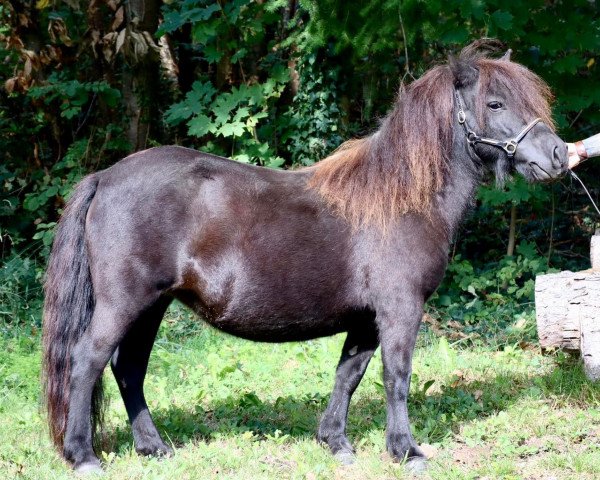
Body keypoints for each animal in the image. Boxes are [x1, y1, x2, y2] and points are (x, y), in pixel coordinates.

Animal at [42, 41, 568, 472]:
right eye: (494, 103)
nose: (559, 155)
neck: (400, 197)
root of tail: (104, 177)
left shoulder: (365, 318)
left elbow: (349, 375)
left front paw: (336, 442)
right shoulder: (400, 308)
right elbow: (396, 375)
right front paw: (406, 450)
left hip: (152, 307)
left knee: (128, 369)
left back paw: (153, 448)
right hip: (124, 303)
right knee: (87, 361)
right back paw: (84, 456)